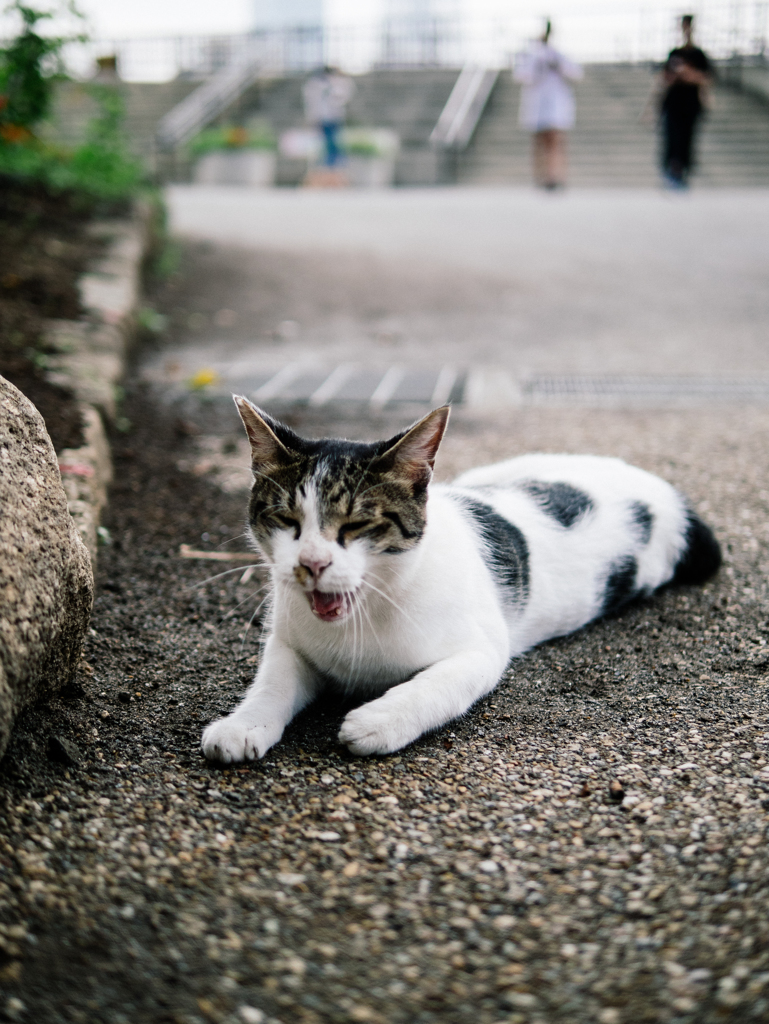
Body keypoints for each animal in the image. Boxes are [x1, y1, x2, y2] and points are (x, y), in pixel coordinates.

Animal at [202, 399, 720, 761]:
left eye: (357, 525)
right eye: (286, 520)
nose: (311, 563)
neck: (365, 612)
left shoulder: (483, 650)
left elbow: (435, 685)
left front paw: (379, 720)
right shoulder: (290, 642)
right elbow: (272, 682)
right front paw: (243, 725)